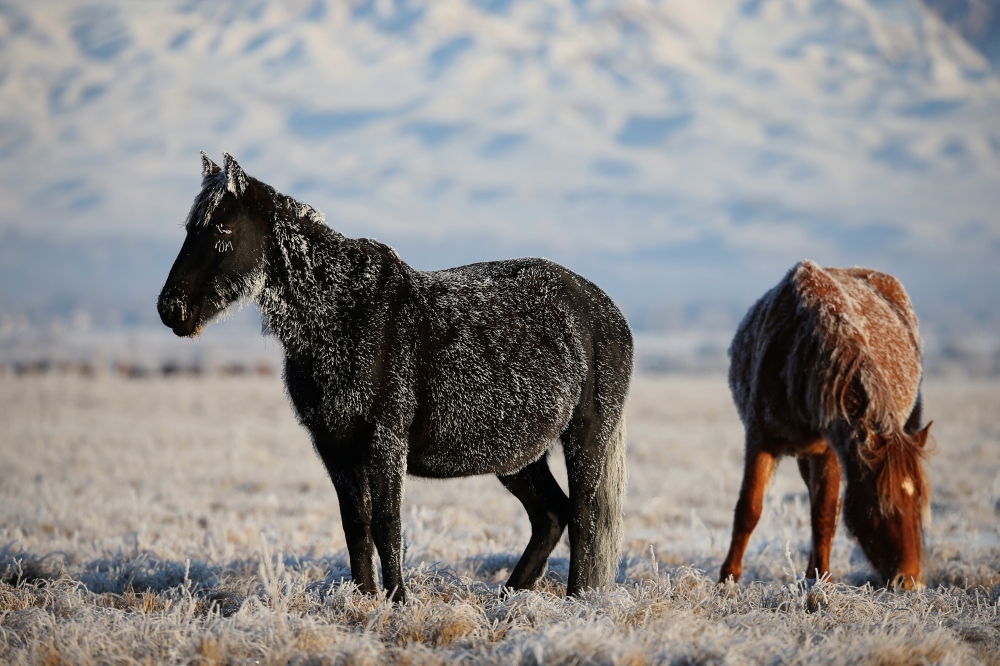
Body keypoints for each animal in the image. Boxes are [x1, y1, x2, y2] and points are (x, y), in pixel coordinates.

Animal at [157, 153, 633, 601]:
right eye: (189, 228)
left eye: (223, 229)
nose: (171, 308)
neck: (341, 315)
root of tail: (603, 306)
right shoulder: (333, 446)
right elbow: (356, 524)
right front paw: (365, 600)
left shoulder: (385, 439)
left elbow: (388, 523)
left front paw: (399, 600)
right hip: (517, 454)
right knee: (551, 516)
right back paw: (508, 597)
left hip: (585, 436)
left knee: (584, 517)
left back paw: (576, 601)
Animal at [718, 260, 932, 590]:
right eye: (879, 502)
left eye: (918, 500)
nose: (909, 582)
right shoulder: (760, 438)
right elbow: (748, 510)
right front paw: (727, 581)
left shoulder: (828, 448)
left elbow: (824, 514)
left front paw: (820, 583)